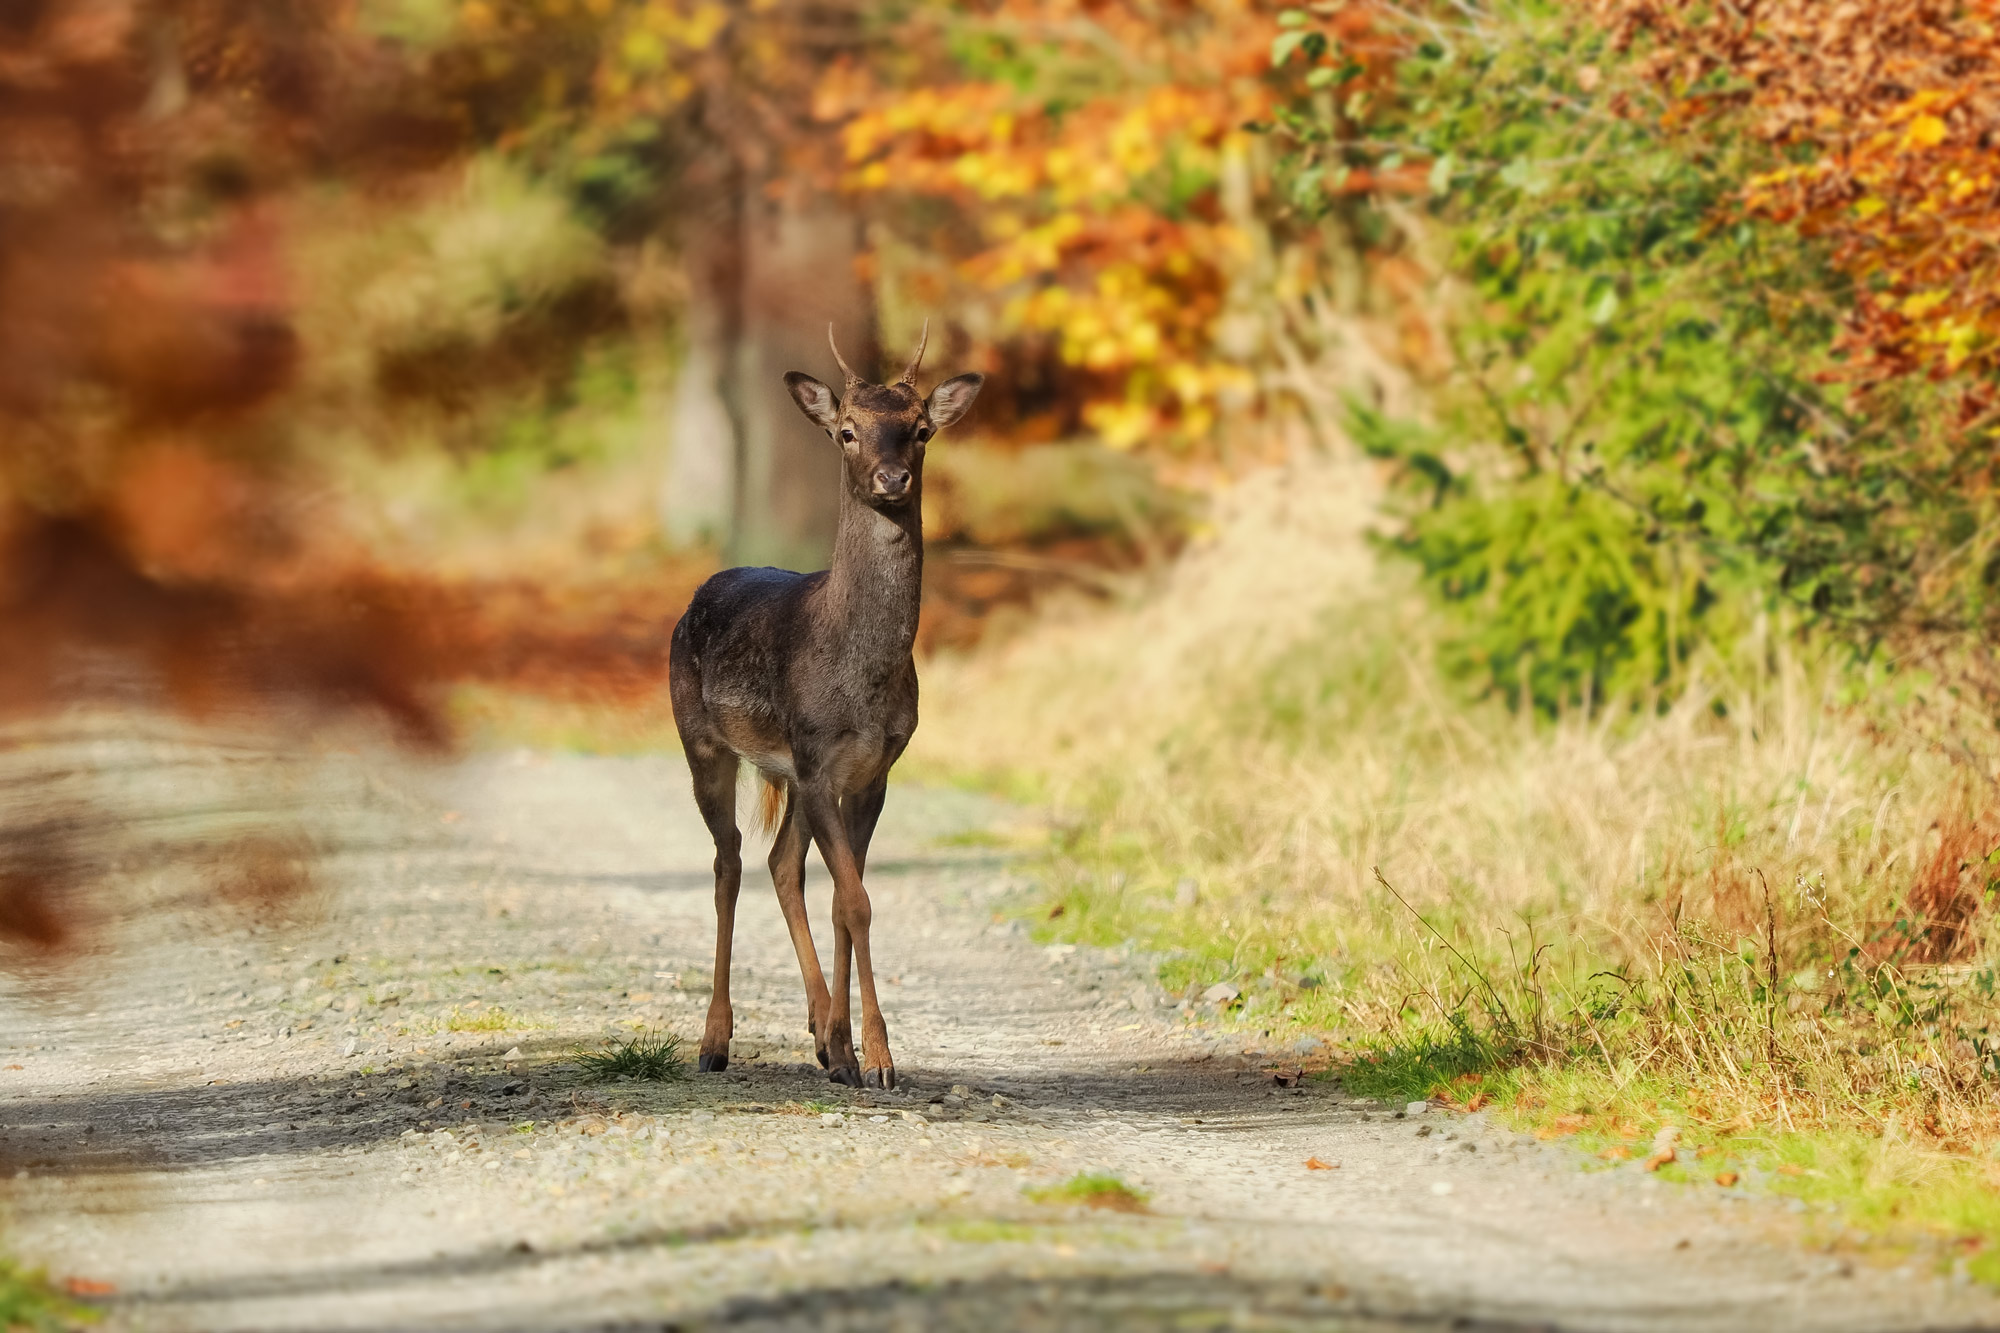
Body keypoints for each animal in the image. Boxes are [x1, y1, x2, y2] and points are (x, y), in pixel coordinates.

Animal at [672, 320, 984, 1080]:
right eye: (847, 430)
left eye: (921, 429)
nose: (893, 478)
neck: (861, 680)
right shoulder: (817, 757)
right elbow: (857, 899)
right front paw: (878, 1056)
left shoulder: (870, 770)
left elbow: (849, 900)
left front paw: (850, 1049)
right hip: (703, 740)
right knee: (728, 861)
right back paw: (714, 1040)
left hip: (788, 774)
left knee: (781, 864)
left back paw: (819, 1033)